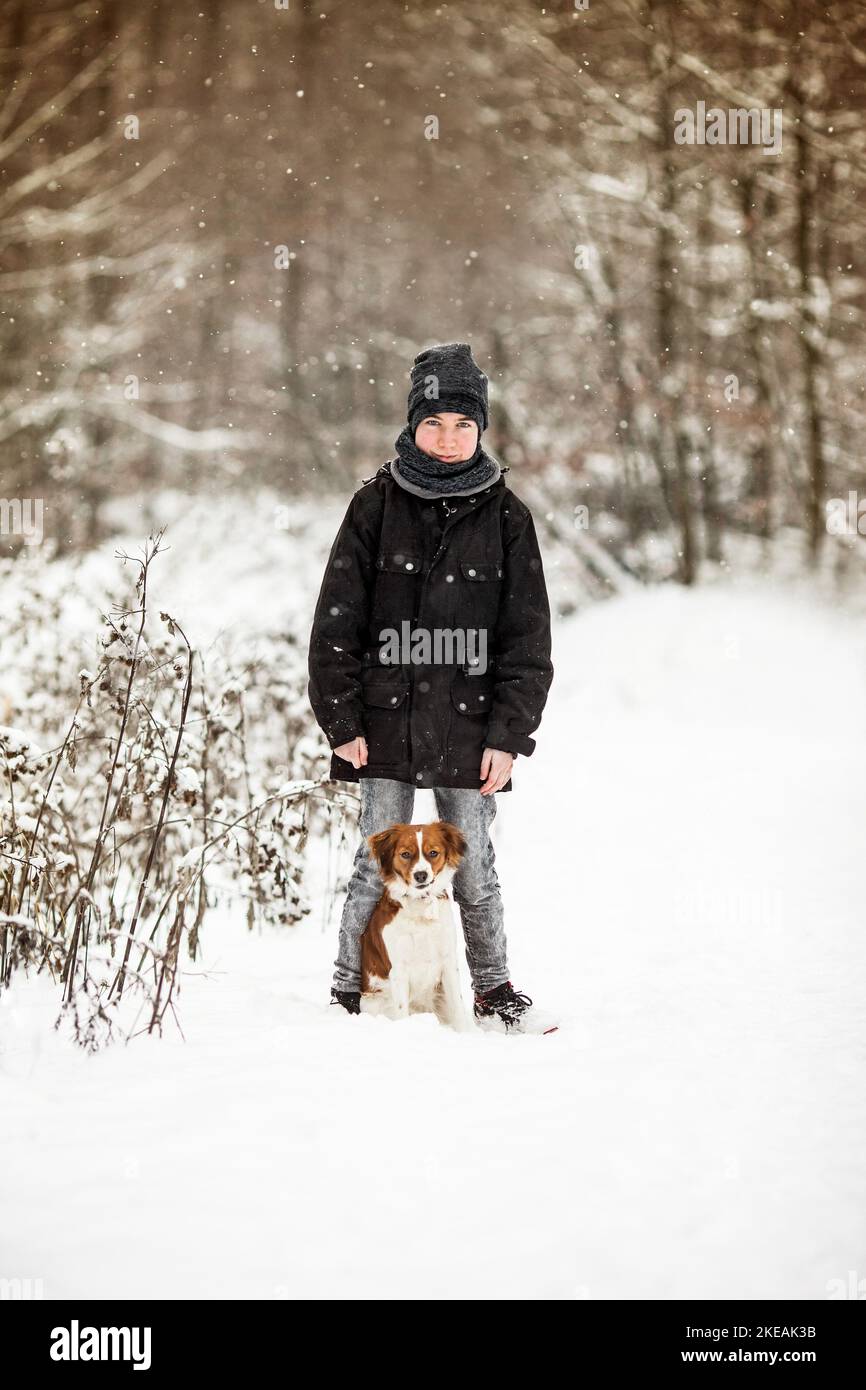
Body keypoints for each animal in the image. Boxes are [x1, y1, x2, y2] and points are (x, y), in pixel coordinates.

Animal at [361, 811, 478, 1034]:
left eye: (433, 853)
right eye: (406, 854)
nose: (420, 875)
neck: (421, 905)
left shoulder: (448, 962)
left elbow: (457, 1007)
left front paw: (465, 1034)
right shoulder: (398, 968)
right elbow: (401, 1010)